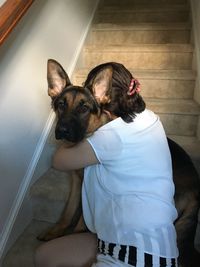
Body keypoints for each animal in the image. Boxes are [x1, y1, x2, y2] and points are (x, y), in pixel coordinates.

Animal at [38, 59, 199, 266]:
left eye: (84, 108)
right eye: (60, 105)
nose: (63, 130)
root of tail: (196, 191)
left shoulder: (88, 185)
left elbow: (81, 215)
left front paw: (76, 232)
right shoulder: (76, 180)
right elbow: (68, 210)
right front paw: (55, 232)